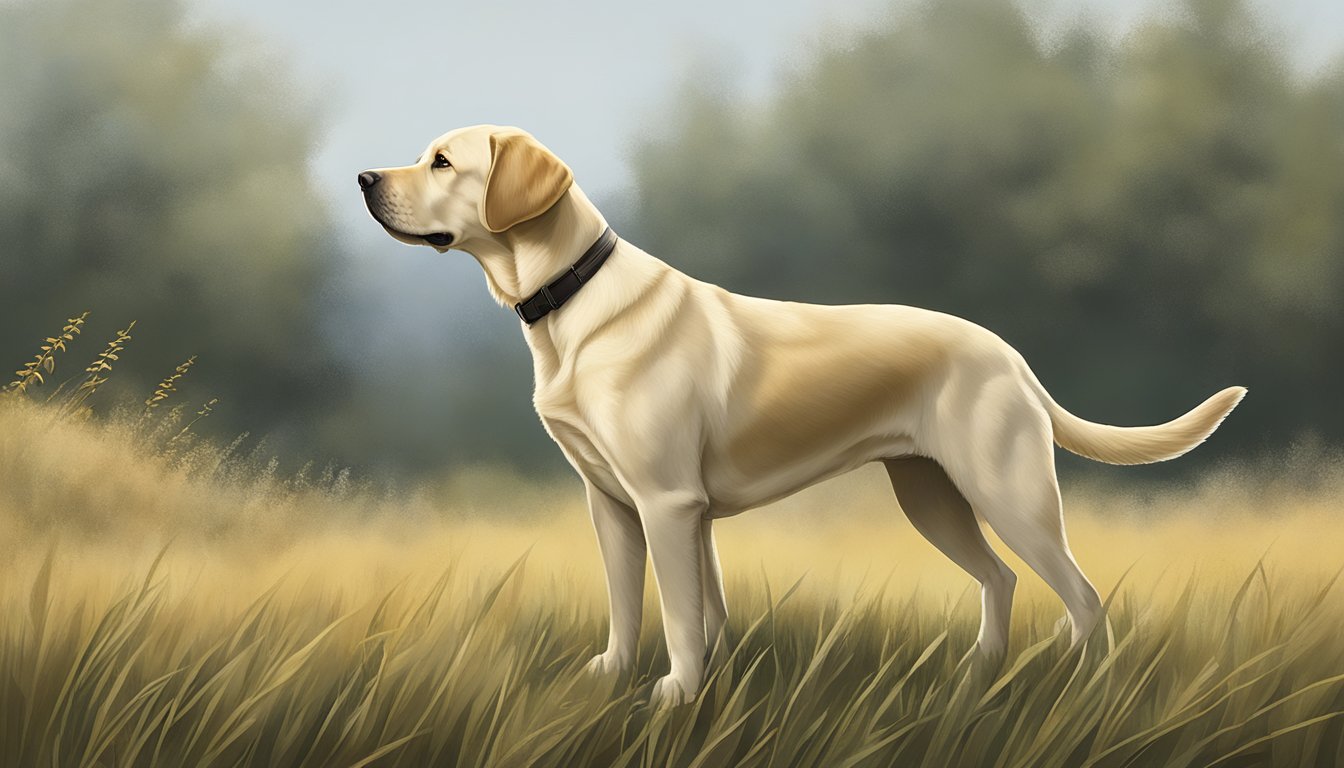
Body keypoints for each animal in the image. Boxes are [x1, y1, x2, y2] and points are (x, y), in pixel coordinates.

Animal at [360, 126, 1247, 710]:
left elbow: (677, 612)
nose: (364, 177)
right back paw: (978, 676)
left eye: (443, 161)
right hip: (931, 497)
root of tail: (1009, 353)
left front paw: (675, 695)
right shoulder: (617, 505)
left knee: (1083, 596)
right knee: (999, 580)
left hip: (1010, 494)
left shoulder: (666, 504)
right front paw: (622, 676)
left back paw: (1081, 689)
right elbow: (642, 603)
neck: (570, 301)